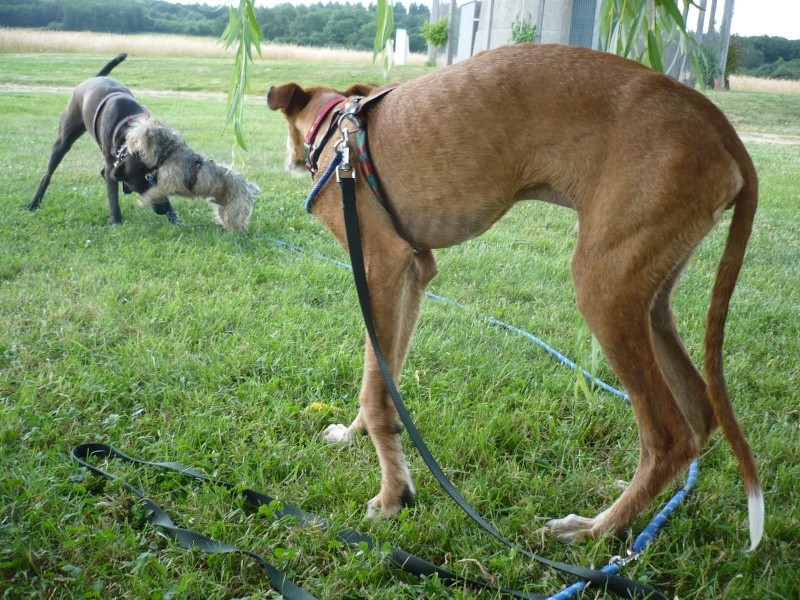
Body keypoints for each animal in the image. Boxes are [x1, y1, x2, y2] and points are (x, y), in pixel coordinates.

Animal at [29, 52, 178, 223]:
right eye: (139, 188)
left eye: (160, 181)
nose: (163, 209)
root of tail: (94, 78)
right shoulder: (112, 166)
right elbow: (113, 195)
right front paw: (117, 221)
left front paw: (173, 214)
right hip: (63, 140)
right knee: (48, 174)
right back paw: (35, 202)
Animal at [268, 43, 764, 548]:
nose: (290, 162)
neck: (338, 129)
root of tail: (714, 121)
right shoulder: (415, 271)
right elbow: (387, 375)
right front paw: (355, 437)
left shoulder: (381, 267)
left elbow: (375, 391)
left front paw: (391, 498)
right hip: (650, 296)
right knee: (699, 411)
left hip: (604, 288)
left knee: (668, 435)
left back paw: (597, 529)